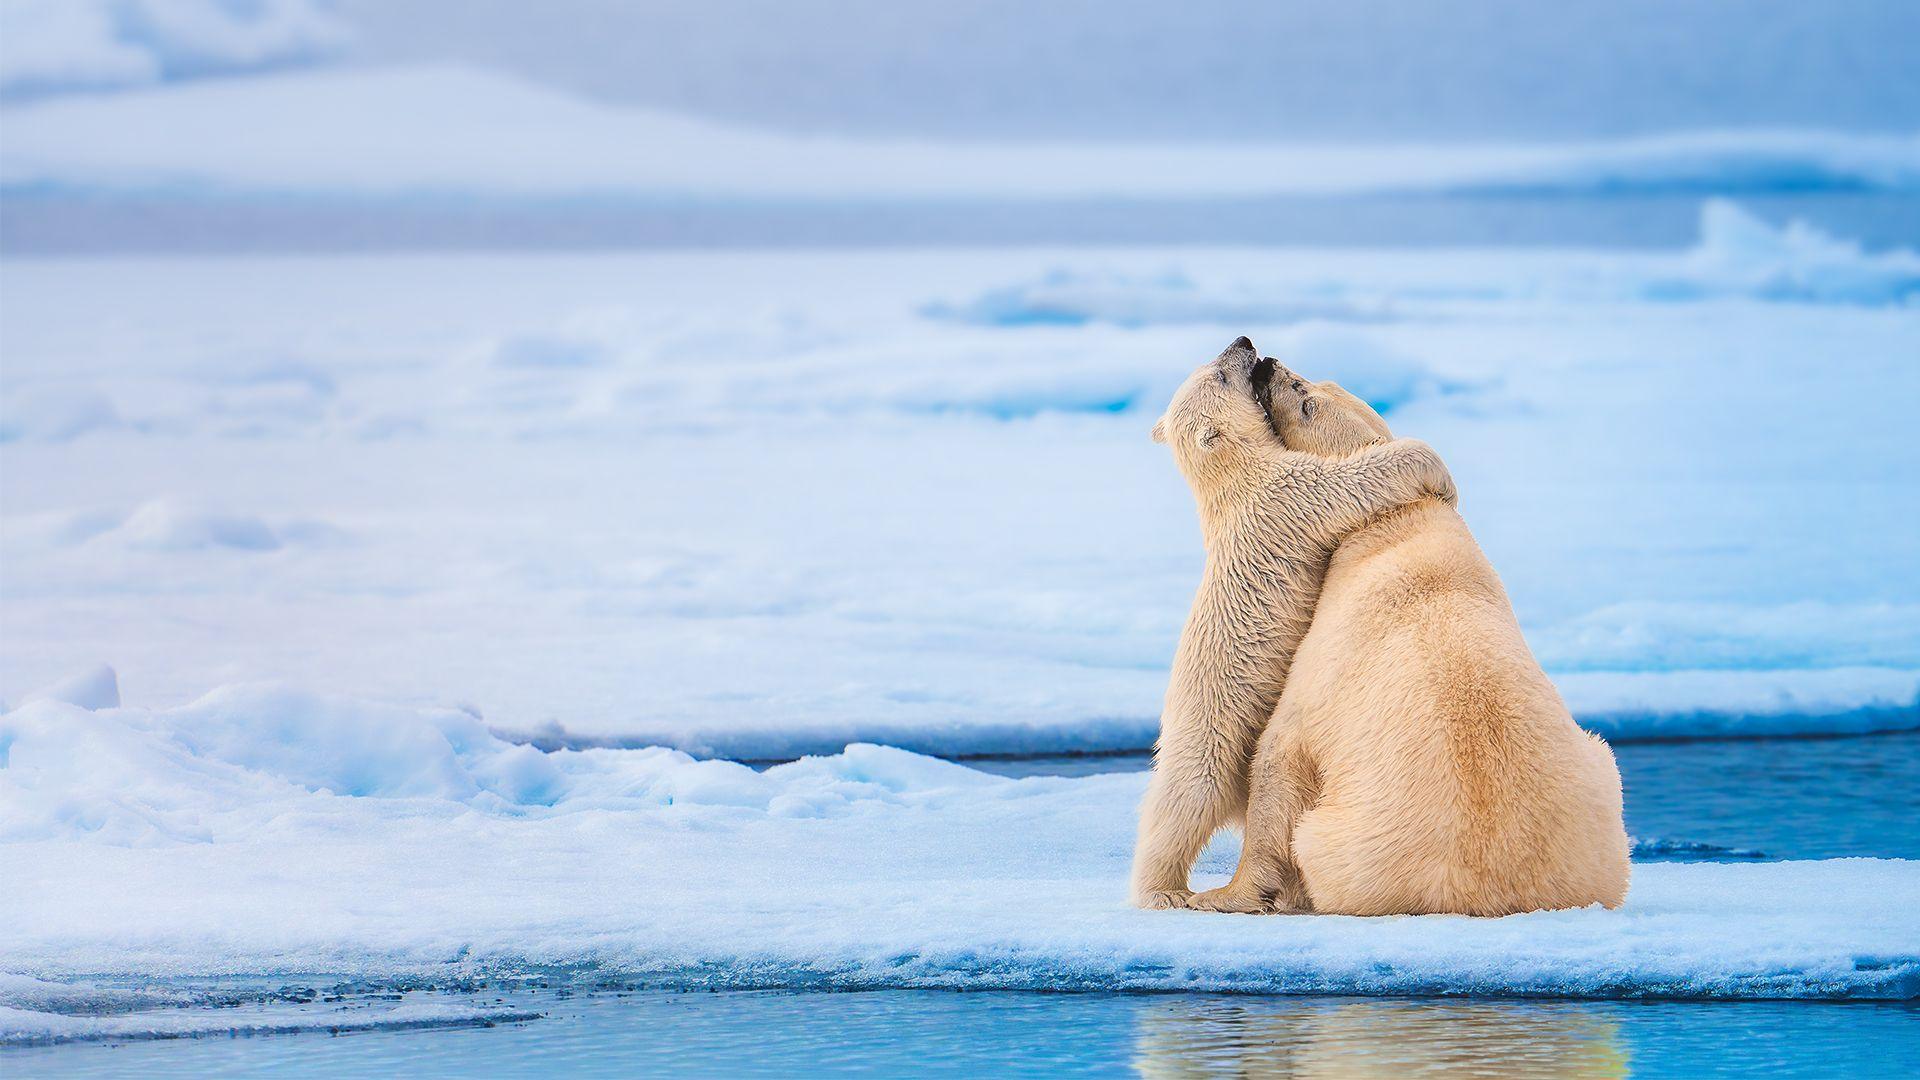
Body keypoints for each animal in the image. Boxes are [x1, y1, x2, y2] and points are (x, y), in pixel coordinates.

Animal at [1130, 337, 1458, 908]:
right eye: (1221, 375)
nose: (1244, 343)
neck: (1234, 480)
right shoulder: (1289, 495)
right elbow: (1352, 480)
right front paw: (1438, 471)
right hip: (1207, 732)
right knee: (1182, 802)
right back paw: (1163, 892)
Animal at [1186, 365, 1631, 917]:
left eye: (1306, 399)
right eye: (1317, 382)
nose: (1267, 363)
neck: (1403, 524)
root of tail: (1481, 892)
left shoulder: (1324, 668)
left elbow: (1280, 753)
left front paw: (1222, 894)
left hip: (1347, 842)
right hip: (1600, 803)